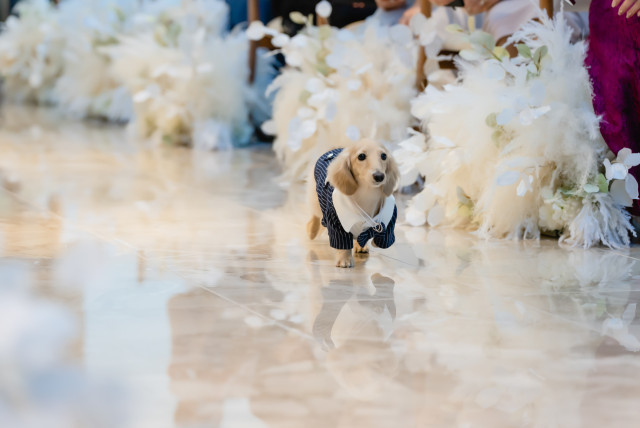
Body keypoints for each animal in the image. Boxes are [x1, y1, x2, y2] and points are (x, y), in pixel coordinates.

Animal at [306, 140, 400, 268]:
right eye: (361, 156)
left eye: (384, 156)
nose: (379, 176)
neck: (367, 195)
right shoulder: (335, 222)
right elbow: (343, 244)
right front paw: (344, 260)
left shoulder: (390, 221)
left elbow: (373, 235)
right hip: (317, 200)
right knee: (315, 216)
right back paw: (311, 231)